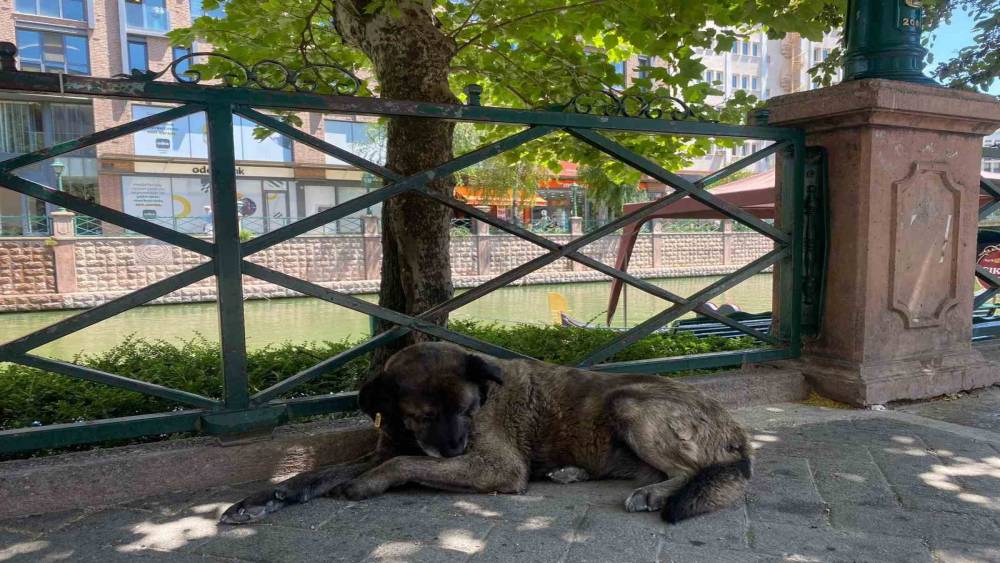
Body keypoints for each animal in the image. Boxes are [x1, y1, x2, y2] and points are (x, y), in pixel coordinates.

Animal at [220, 342, 752, 525]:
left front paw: (367, 484)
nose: (454, 447)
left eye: (468, 409)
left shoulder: (495, 465)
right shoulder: (389, 447)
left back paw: (658, 493)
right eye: (422, 414)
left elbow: (402, 464)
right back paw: (572, 473)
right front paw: (264, 500)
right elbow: (314, 475)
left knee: (693, 470)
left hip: (629, 403)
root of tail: (736, 431)